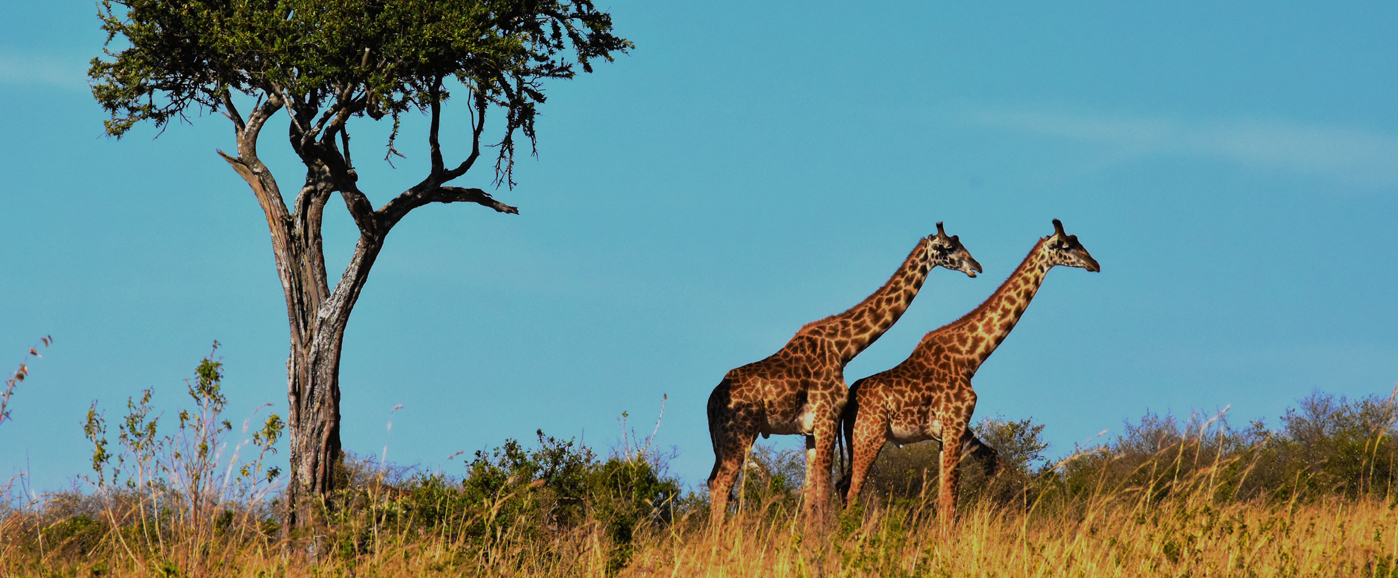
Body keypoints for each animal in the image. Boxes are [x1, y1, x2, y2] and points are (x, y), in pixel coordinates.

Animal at [710, 222, 984, 529]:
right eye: (948, 247)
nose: (976, 266)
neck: (843, 348)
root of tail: (711, 402)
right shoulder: (827, 418)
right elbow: (823, 489)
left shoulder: (811, 430)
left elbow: (811, 492)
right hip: (741, 433)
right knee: (722, 483)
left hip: (722, 440)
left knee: (713, 482)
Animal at [833, 218, 1096, 523]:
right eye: (1065, 245)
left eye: (1079, 241)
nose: (1094, 264)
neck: (971, 358)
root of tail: (849, 402)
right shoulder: (955, 425)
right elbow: (951, 499)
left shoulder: (945, 434)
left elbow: (946, 496)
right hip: (869, 436)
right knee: (852, 491)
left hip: (854, 441)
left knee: (842, 487)